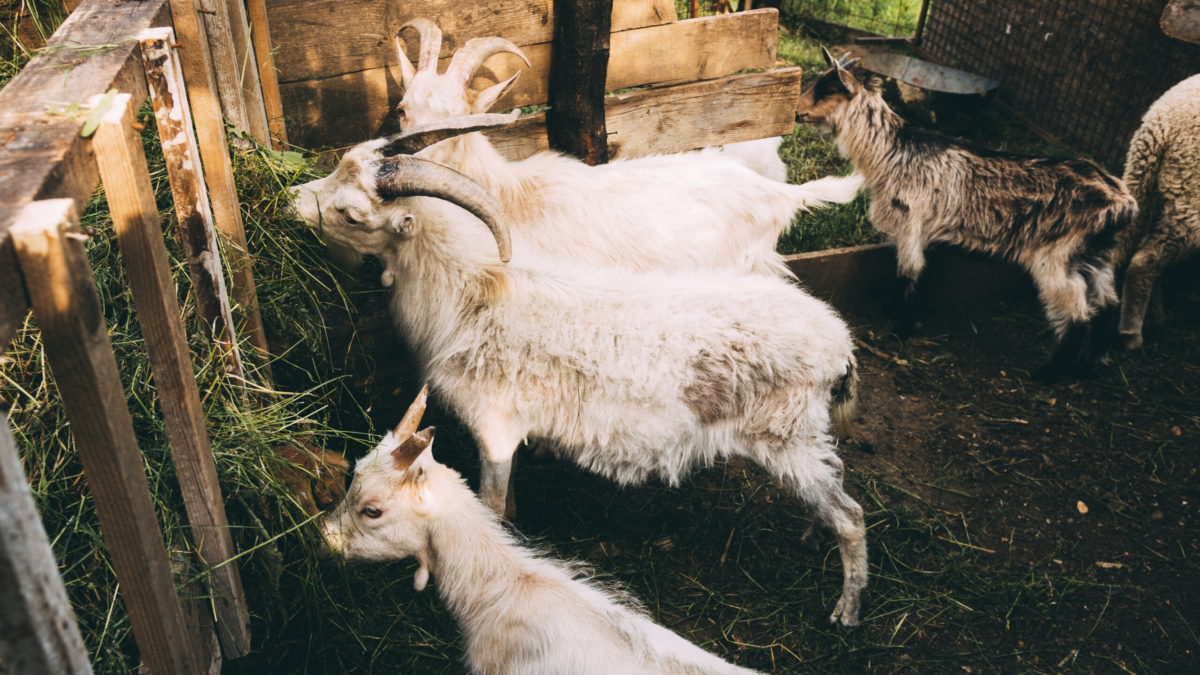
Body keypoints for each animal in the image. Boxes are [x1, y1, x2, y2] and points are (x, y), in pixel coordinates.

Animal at [291, 126, 868, 626]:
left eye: (350, 213)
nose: (291, 199)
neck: (470, 296)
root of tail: (840, 344)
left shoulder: (494, 429)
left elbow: (492, 505)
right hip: (805, 438)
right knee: (835, 482)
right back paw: (813, 538)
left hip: (787, 438)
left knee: (852, 515)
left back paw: (845, 610)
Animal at [796, 48, 1137, 380]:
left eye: (829, 89)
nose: (797, 112)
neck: (892, 153)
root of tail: (1124, 203)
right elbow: (911, 272)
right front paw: (893, 313)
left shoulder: (912, 224)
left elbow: (909, 272)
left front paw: (901, 328)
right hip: (1095, 255)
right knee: (1107, 303)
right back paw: (1092, 363)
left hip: (1057, 257)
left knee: (1078, 314)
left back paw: (1049, 374)